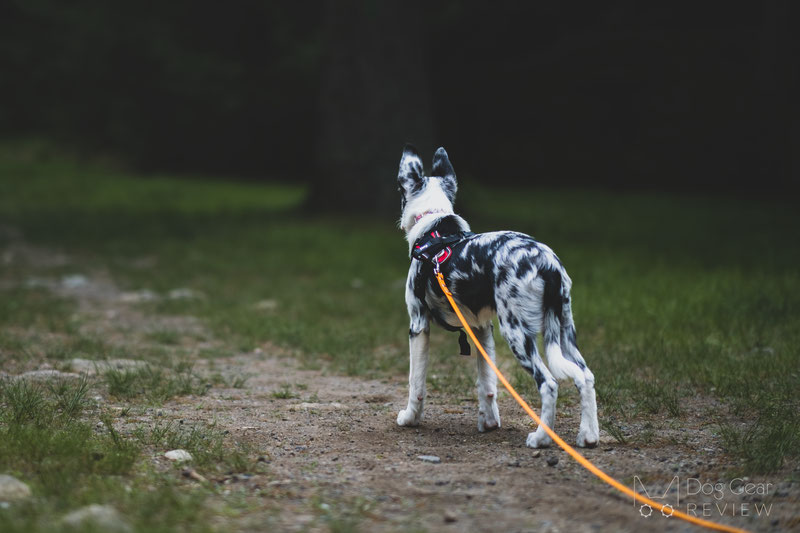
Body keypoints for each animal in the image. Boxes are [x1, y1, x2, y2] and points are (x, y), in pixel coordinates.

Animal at [396, 143, 596, 446]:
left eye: (399, 190)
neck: (435, 228)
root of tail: (548, 264)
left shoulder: (418, 326)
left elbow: (415, 384)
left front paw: (410, 418)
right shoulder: (481, 328)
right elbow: (487, 384)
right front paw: (489, 423)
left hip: (517, 334)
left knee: (549, 384)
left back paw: (541, 438)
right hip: (564, 334)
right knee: (585, 377)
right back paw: (589, 436)